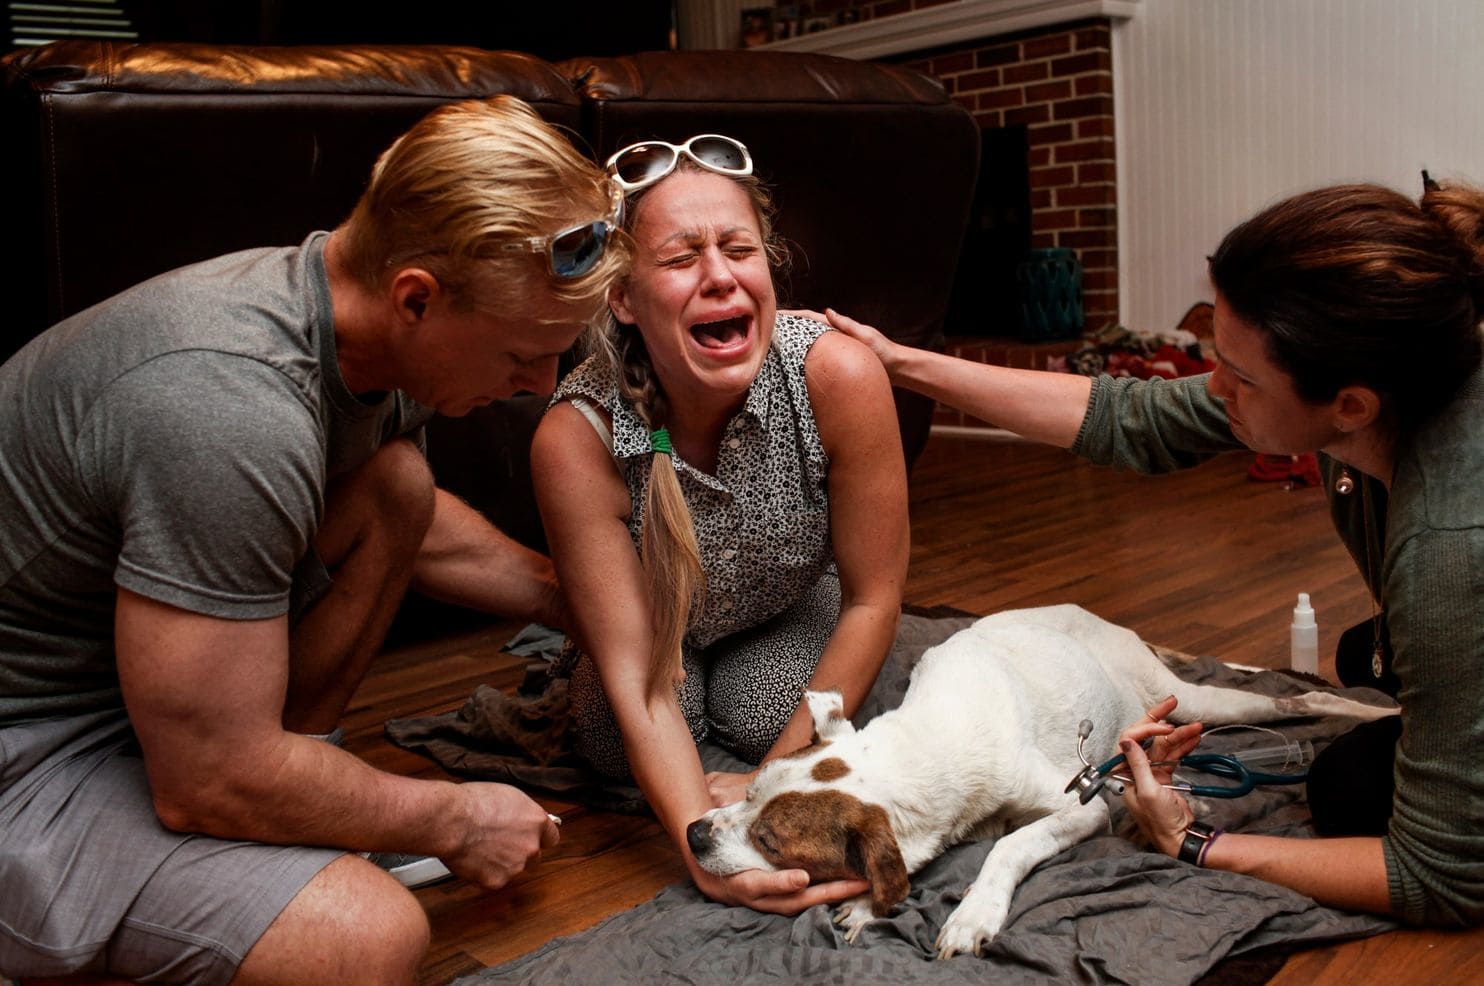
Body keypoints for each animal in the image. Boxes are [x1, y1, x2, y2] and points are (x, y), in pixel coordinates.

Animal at [688, 605, 1394, 956]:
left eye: (771, 842)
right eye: (745, 792)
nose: (693, 833)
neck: (926, 740)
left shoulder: (1084, 805)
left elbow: (1007, 844)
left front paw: (972, 914)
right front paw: (866, 903)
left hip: (1191, 698)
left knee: (1294, 700)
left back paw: (1377, 711)